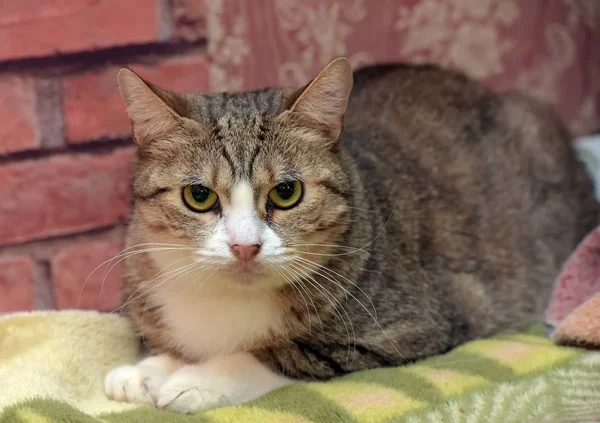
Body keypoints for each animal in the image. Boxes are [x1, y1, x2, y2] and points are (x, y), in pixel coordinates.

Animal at [103, 56, 596, 414]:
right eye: (200, 196)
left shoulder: (414, 325)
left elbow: (282, 352)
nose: (245, 247)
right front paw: (144, 371)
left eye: (286, 192)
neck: (227, 299)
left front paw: (197, 379)